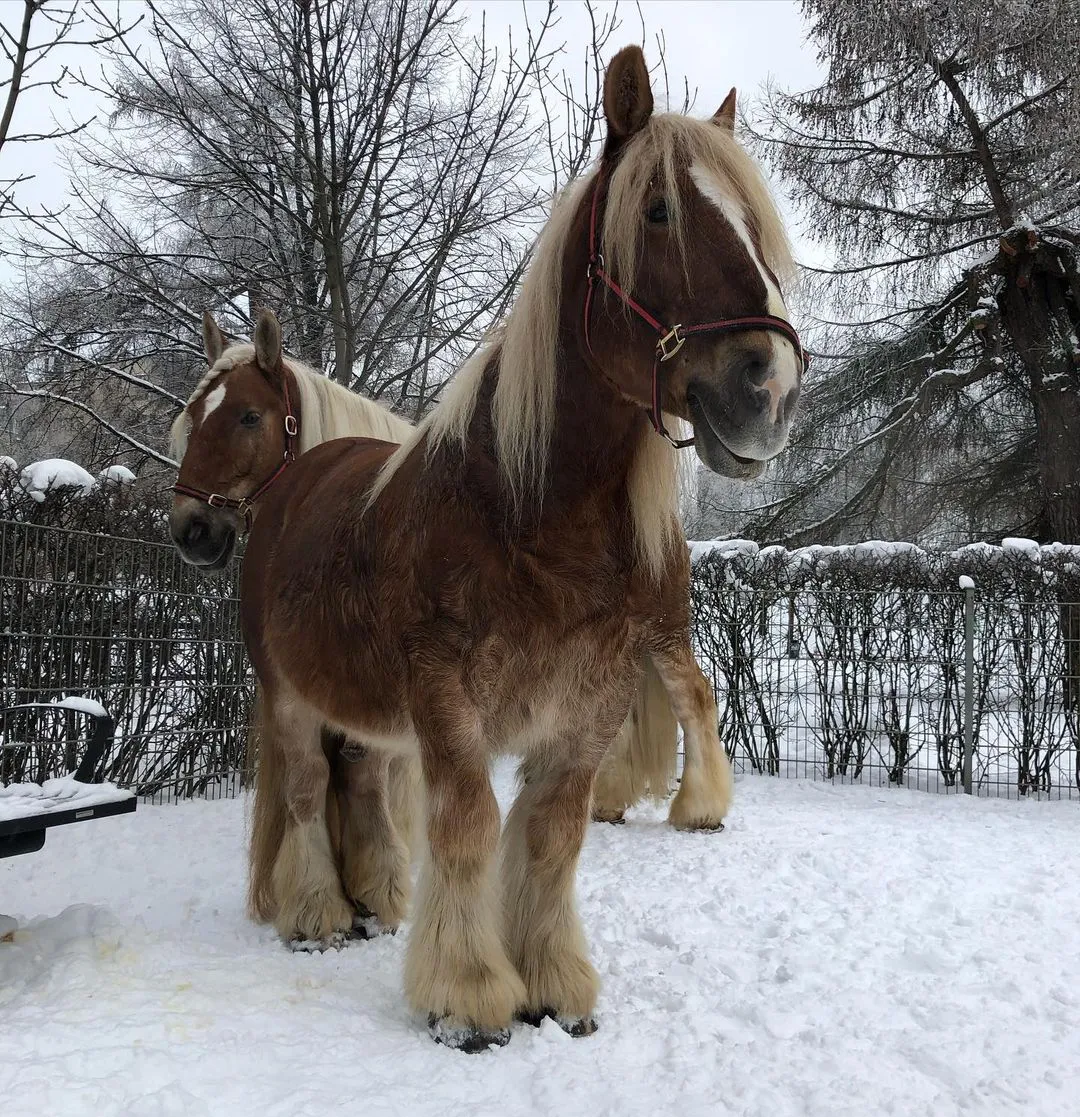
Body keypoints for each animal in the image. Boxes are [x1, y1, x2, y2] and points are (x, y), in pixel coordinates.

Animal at [188, 44, 803, 1050]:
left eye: (753, 222)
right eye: (658, 210)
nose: (768, 387)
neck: (528, 516)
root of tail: (290, 487)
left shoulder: (587, 702)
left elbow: (551, 833)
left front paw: (551, 981)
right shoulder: (446, 701)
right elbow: (471, 824)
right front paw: (467, 992)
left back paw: (376, 897)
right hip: (288, 694)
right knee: (308, 790)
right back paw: (319, 911)